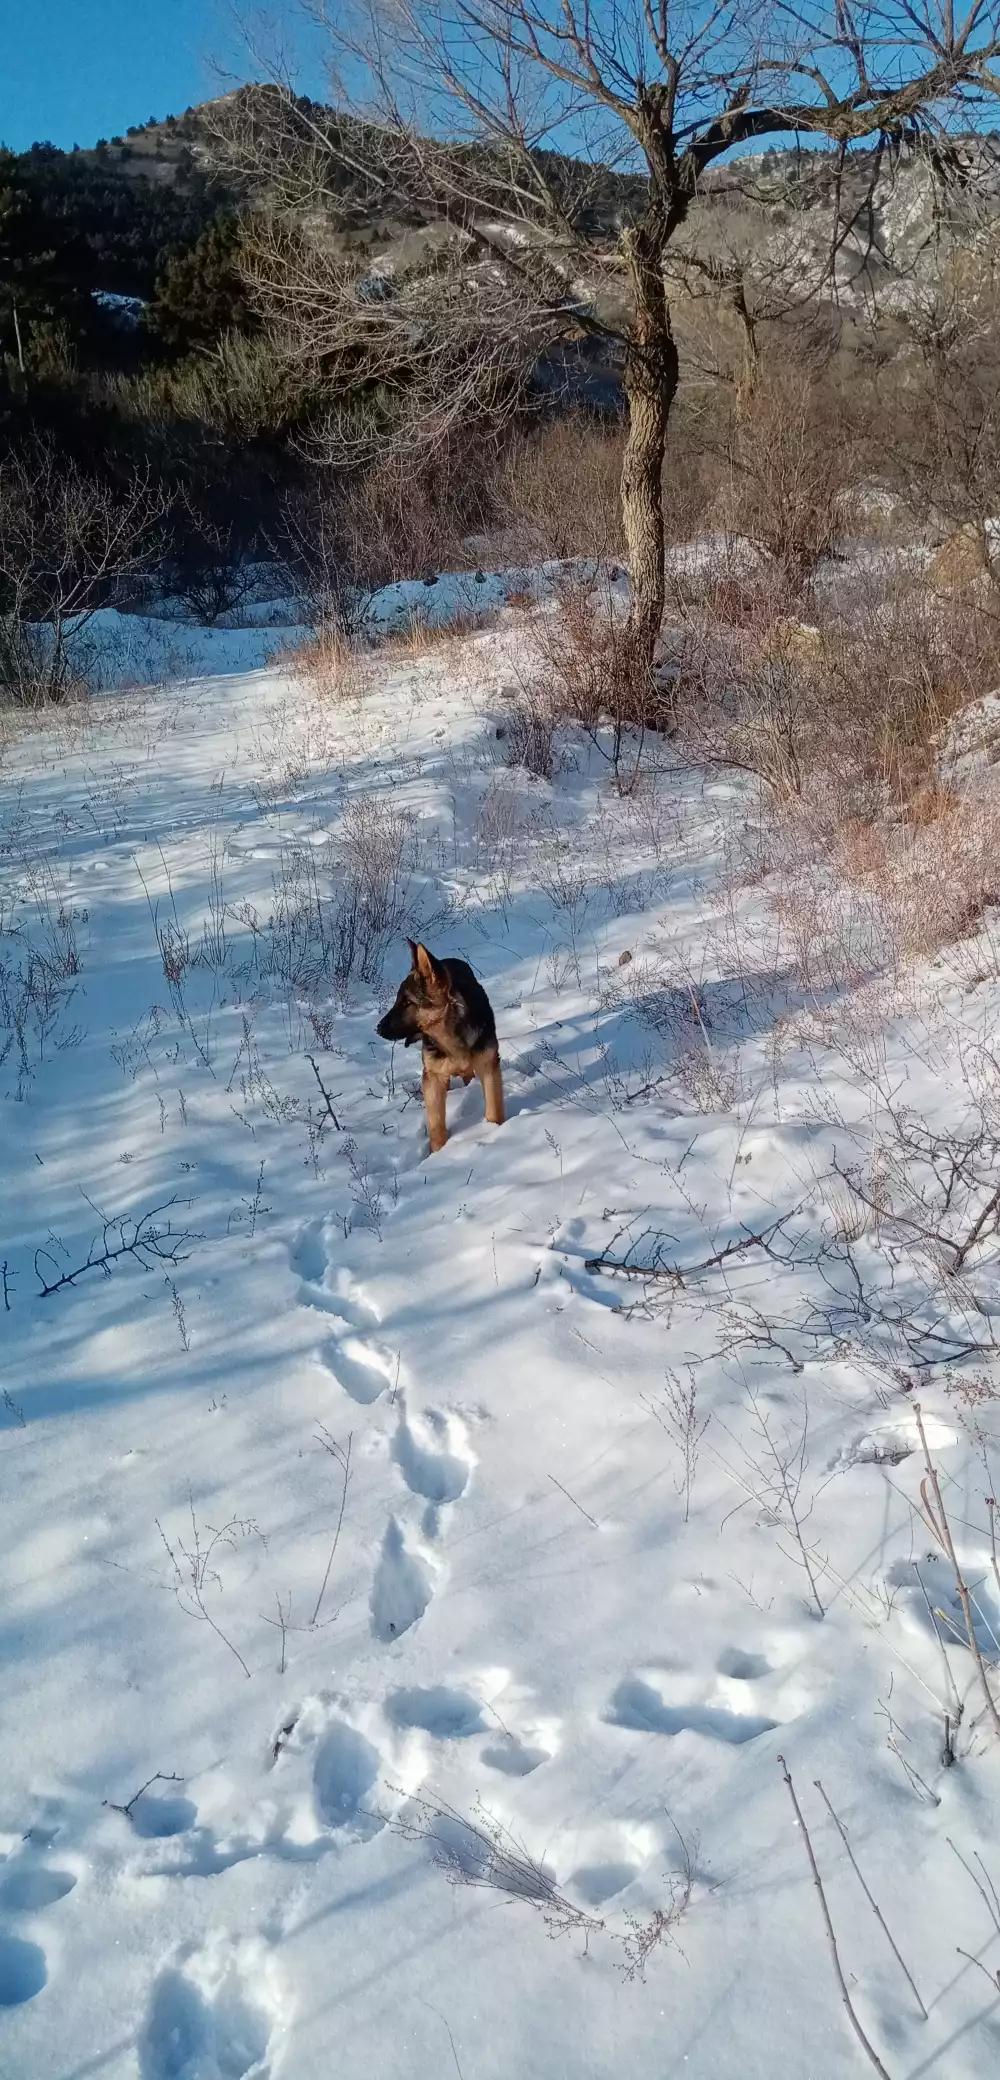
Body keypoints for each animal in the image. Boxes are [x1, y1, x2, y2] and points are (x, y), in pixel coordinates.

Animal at [374, 944, 503, 1156]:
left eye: (407, 1002)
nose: (378, 1029)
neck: (450, 1036)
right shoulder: (433, 1078)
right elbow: (436, 1125)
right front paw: (438, 1154)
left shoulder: (488, 1067)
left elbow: (494, 1109)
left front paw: (495, 1131)